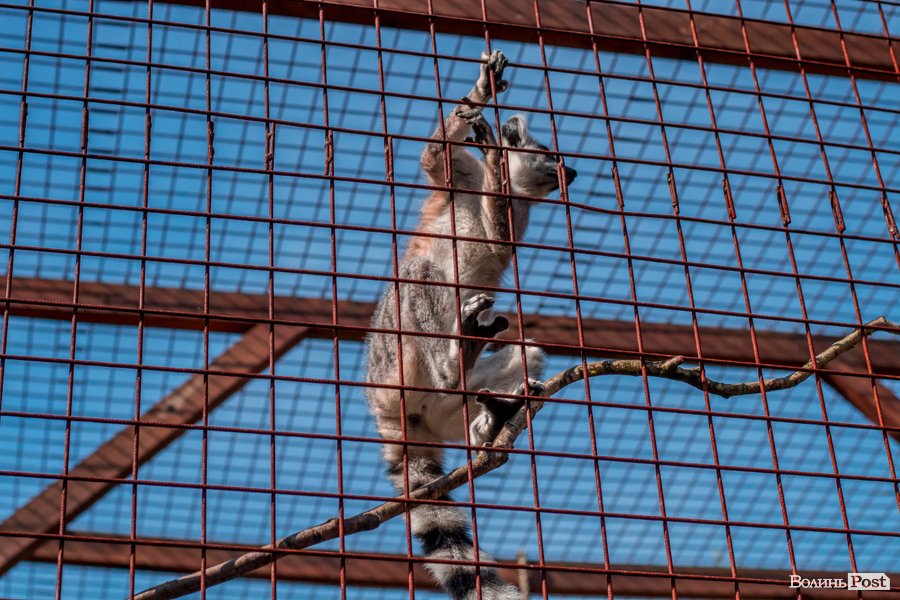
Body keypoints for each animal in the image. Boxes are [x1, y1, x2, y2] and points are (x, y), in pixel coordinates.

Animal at [365, 50, 577, 600]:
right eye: (550, 154)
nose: (571, 171)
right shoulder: (457, 180)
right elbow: (434, 158)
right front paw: (482, 100)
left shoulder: (515, 215)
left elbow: (499, 234)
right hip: (395, 361)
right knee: (419, 273)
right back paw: (454, 357)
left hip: (442, 406)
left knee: (526, 353)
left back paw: (490, 419)